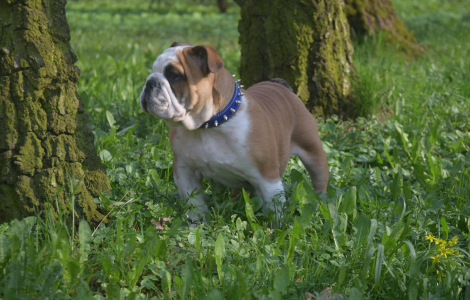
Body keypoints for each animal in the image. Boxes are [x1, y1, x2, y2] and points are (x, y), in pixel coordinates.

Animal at [140, 42, 326, 225]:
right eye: (153, 70)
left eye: (174, 75)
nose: (149, 82)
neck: (208, 126)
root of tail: (279, 84)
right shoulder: (185, 171)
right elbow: (195, 204)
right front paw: (196, 225)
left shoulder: (268, 179)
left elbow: (275, 212)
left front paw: (276, 230)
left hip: (312, 151)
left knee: (319, 177)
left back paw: (319, 200)